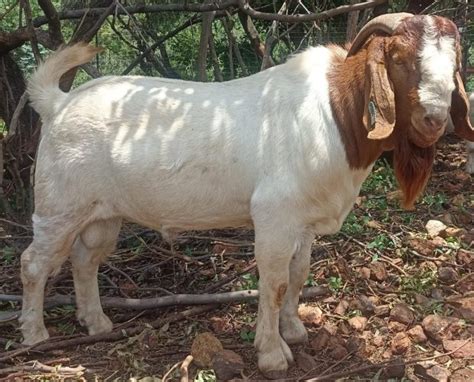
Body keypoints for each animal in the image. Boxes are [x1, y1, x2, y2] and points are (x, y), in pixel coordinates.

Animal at [20, 12, 472, 380]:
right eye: (399, 58)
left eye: (454, 64)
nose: (434, 120)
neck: (336, 113)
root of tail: (58, 103)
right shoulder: (274, 215)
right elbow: (274, 282)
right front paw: (272, 354)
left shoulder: (304, 220)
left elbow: (299, 274)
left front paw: (295, 330)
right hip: (59, 205)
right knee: (34, 262)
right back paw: (35, 333)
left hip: (101, 212)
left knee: (85, 258)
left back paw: (96, 323)